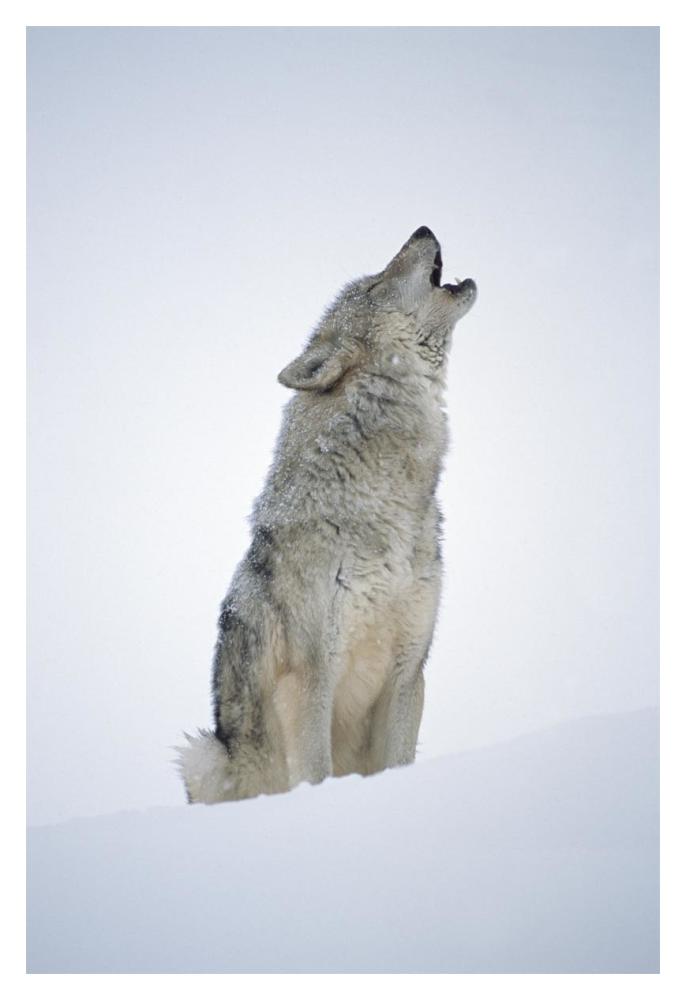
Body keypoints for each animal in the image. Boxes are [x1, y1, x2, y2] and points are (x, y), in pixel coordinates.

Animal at [177, 226, 477, 803]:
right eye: (376, 283)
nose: (423, 229)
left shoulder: (409, 672)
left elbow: (399, 761)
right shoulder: (310, 678)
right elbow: (314, 770)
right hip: (202, 755)